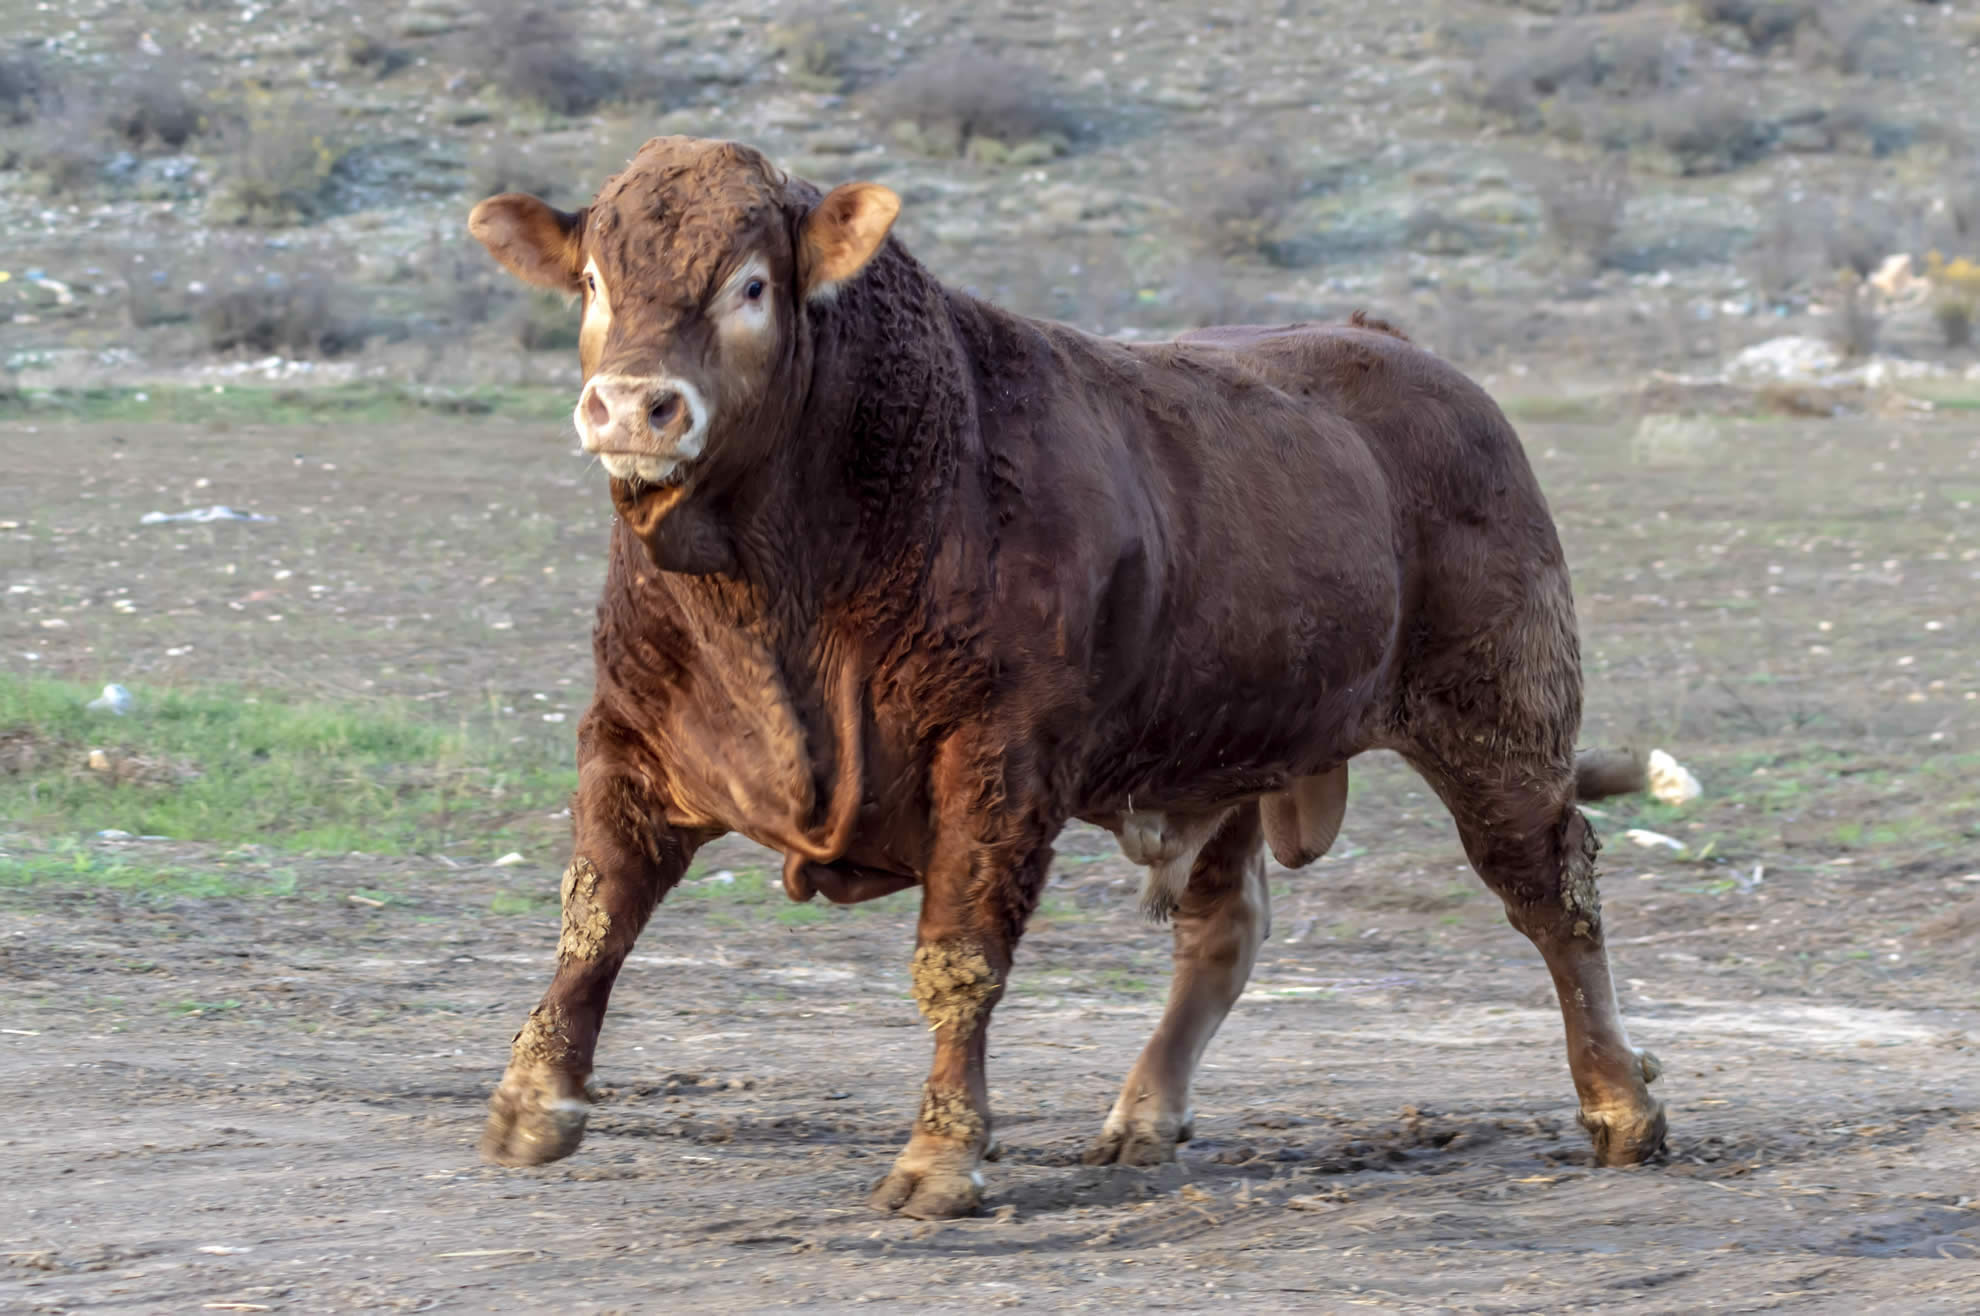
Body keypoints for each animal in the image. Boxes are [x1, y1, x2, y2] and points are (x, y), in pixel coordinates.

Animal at [467, 138, 1671, 1219]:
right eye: (592, 281)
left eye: (751, 285)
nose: (634, 406)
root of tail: (1398, 349)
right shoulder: (633, 731)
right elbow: (598, 908)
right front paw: (533, 1101)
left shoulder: (997, 758)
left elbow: (959, 957)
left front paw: (942, 1158)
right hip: (1227, 746)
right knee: (1223, 928)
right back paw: (1145, 1114)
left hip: (1500, 720)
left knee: (1555, 896)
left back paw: (1622, 1106)